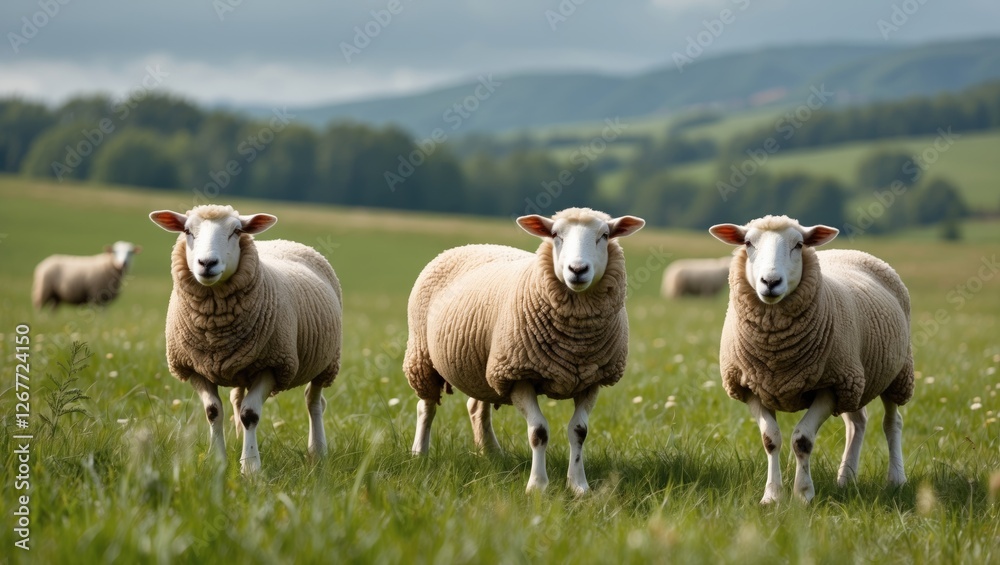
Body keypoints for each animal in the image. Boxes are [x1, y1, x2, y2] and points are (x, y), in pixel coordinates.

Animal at [149, 205, 342, 474]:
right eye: (187, 230)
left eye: (236, 231)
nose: (207, 263)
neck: (215, 329)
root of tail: (283, 241)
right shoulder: (193, 366)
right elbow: (213, 412)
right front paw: (217, 460)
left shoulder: (273, 365)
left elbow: (250, 414)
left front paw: (250, 467)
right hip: (241, 366)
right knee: (237, 399)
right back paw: (240, 439)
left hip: (326, 363)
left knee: (314, 402)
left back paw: (318, 452)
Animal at [404, 207, 645, 495]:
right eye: (555, 235)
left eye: (605, 235)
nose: (577, 270)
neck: (575, 342)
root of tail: (470, 245)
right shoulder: (520, 375)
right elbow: (538, 432)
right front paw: (537, 486)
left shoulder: (591, 380)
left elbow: (579, 431)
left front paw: (578, 486)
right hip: (422, 357)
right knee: (426, 407)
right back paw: (419, 454)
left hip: (485, 367)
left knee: (477, 409)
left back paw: (491, 453)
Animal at [710, 215, 913, 504]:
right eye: (748, 243)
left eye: (798, 245)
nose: (770, 282)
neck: (776, 354)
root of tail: (849, 251)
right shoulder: (750, 387)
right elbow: (770, 439)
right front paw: (772, 496)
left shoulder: (829, 386)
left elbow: (802, 440)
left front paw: (804, 495)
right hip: (854, 381)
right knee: (857, 423)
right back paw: (846, 478)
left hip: (894, 374)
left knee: (892, 423)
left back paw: (896, 479)